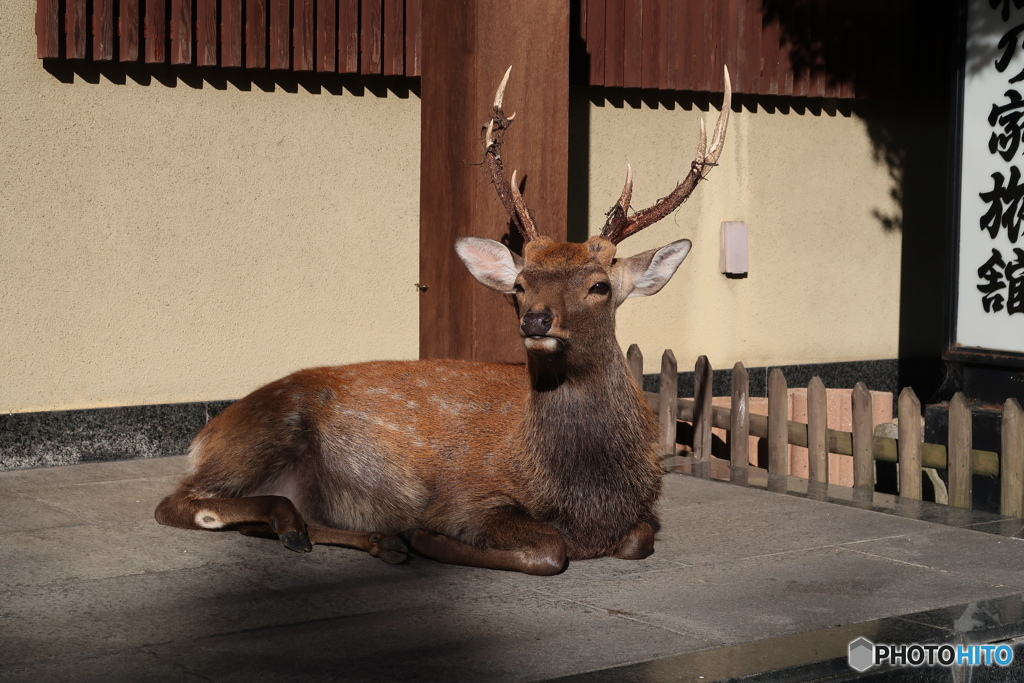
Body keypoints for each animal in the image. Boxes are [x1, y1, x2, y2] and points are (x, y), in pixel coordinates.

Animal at [153, 65, 729, 577]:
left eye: (600, 285)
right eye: (520, 285)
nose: (537, 320)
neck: (585, 497)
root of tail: (204, 434)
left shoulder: (641, 515)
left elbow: (637, 541)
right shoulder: (469, 497)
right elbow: (550, 549)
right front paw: (428, 538)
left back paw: (361, 538)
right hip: (261, 436)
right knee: (177, 503)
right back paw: (315, 526)